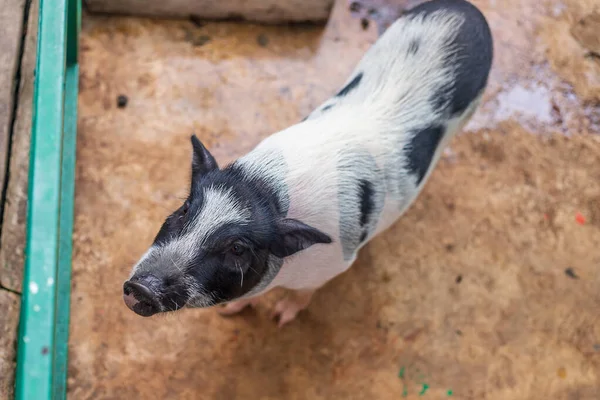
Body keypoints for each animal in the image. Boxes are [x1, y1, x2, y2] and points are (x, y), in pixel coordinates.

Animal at [122, 0, 492, 326]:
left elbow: (302, 294)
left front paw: (279, 319)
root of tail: (463, 11)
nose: (141, 287)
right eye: (185, 210)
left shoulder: (333, 265)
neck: (266, 190)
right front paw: (228, 313)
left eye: (238, 248)